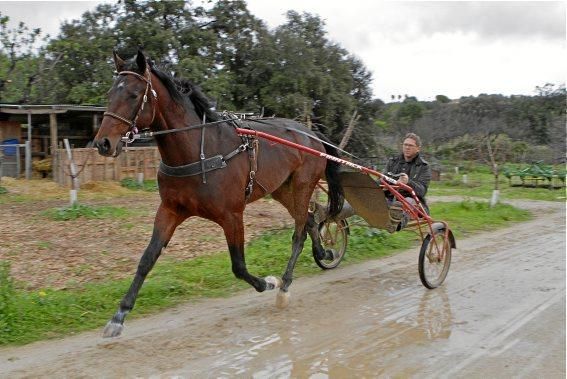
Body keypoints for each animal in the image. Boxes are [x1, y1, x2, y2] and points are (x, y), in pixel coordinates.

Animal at [92, 50, 346, 338]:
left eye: (134, 95)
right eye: (110, 93)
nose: (103, 143)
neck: (199, 151)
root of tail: (310, 133)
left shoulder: (232, 215)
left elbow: (239, 266)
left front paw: (269, 282)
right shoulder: (169, 210)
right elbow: (147, 259)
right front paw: (119, 315)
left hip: (303, 185)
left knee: (300, 232)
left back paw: (285, 286)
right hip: (281, 189)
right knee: (312, 220)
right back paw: (324, 254)